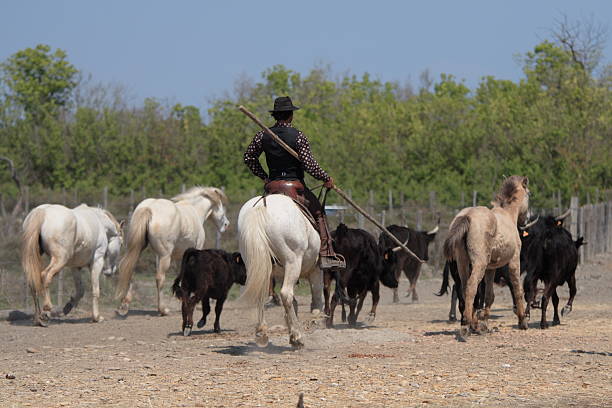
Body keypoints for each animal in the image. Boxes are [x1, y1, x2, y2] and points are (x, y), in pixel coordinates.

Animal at [115, 186, 230, 318]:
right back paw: (163, 310)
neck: (195, 211)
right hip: (165, 256)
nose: (226, 224)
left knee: (130, 270)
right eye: (221, 206)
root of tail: (149, 208)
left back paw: (125, 305)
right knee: (160, 278)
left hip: (138, 250)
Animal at [238, 194, 326, 348]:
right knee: (286, 294)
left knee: (261, 293)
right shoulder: (315, 270)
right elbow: (316, 299)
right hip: (293, 262)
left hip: (257, 266)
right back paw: (298, 336)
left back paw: (262, 333)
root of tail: (261, 206)